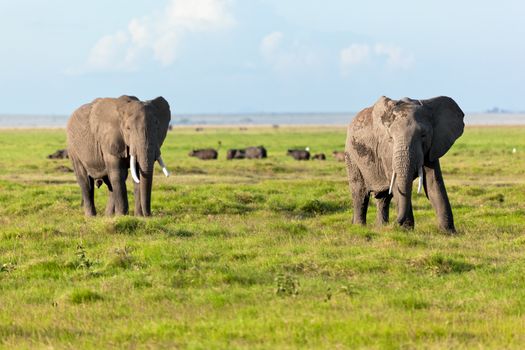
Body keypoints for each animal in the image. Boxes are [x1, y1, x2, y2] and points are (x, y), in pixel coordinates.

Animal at [344, 95, 462, 232]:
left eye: (423, 135)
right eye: (390, 138)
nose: (395, 224)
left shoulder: (433, 147)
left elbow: (434, 183)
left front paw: (448, 232)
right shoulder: (386, 151)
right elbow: (397, 184)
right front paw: (406, 231)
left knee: (384, 198)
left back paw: (380, 226)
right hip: (351, 155)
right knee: (360, 193)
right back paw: (359, 227)